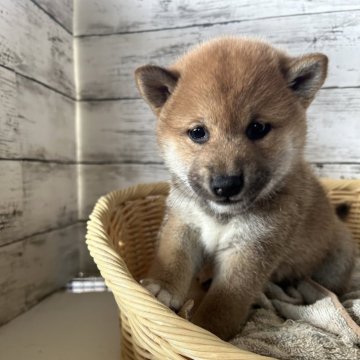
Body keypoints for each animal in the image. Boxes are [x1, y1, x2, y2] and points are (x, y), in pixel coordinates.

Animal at [134, 37, 354, 340]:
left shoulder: (250, 251)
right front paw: (161, 289)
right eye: (198, 132)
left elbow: (223, 305)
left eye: (258, 128)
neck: (220, 216)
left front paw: (205, 330)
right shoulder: (183, 224)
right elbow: (173, 258)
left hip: (335, 261)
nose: (226, 184)